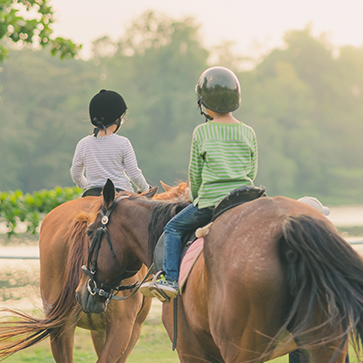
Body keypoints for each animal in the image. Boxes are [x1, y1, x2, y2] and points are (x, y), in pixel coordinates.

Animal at [74, 181, 363, 363]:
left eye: (90, 233)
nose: (81, 293)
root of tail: (288, 226)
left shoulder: (192, 352)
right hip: (325, 346)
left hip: (243, 351)